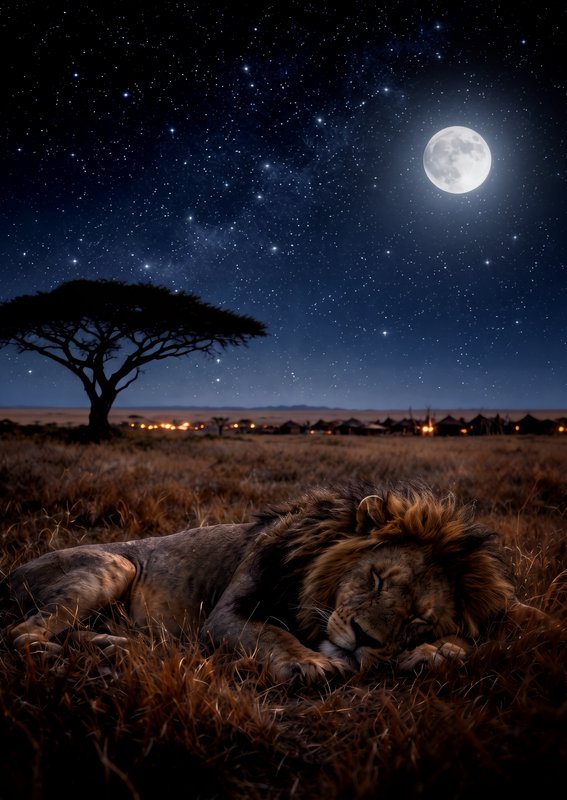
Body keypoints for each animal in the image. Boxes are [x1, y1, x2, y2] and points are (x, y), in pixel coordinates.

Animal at [0, 482, 546, 682]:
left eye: (418, 620)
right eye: (374, 580)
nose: (363, 638)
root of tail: (8, 574)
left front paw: (437, 652)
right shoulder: (227, 614)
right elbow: (271, 633)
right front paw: (309, 663)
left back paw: (113, 645)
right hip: (118, 564)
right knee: (19, 634)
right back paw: (59, 655)